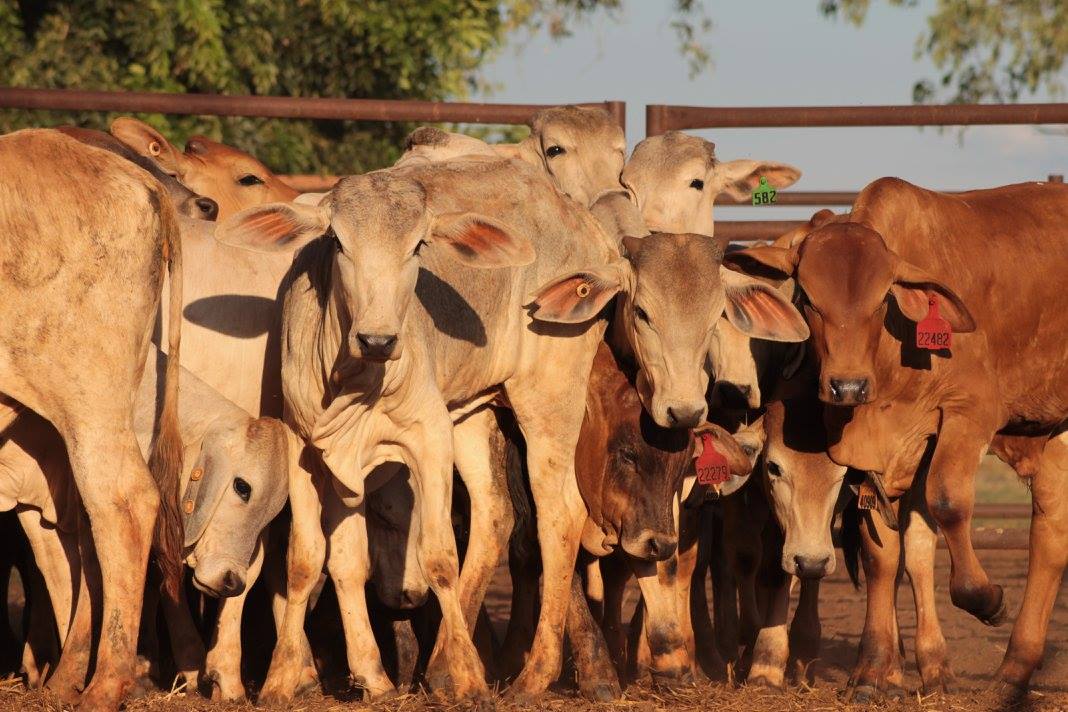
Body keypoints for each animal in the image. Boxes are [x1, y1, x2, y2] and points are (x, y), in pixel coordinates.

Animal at [721, 178, 1068, 695]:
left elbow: (948, 502)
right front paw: (872, 670)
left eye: (883, 299)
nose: (846, 387)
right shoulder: (876, 457)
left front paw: (985, 598)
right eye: (808, 299)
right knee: (1050, 528)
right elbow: (882, 553)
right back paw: (1014, 669)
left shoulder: (968, 413)